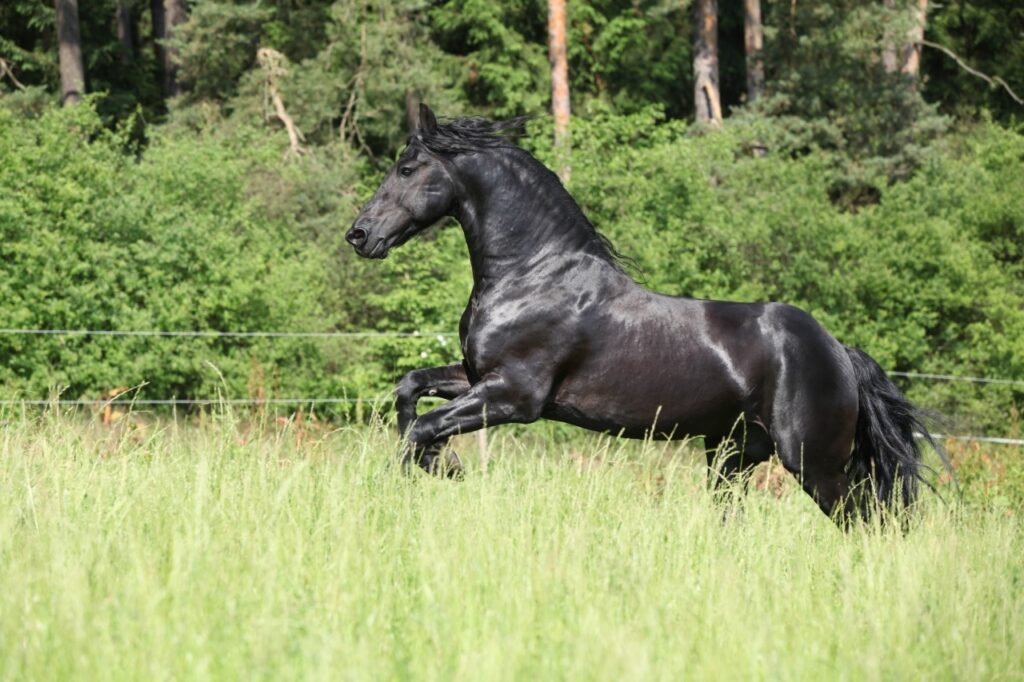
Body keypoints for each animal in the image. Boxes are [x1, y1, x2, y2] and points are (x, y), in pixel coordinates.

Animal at [346, 104, 935, 521]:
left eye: (407, 168)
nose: (359, 235)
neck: (532, 274)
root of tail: (839, 351)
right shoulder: (477, 376)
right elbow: (409, 391)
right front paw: (444, 464)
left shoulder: (514, 395)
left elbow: (423, 429)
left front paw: (438, 469)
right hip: (733, 454)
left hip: (815, 462)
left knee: (865, 517)